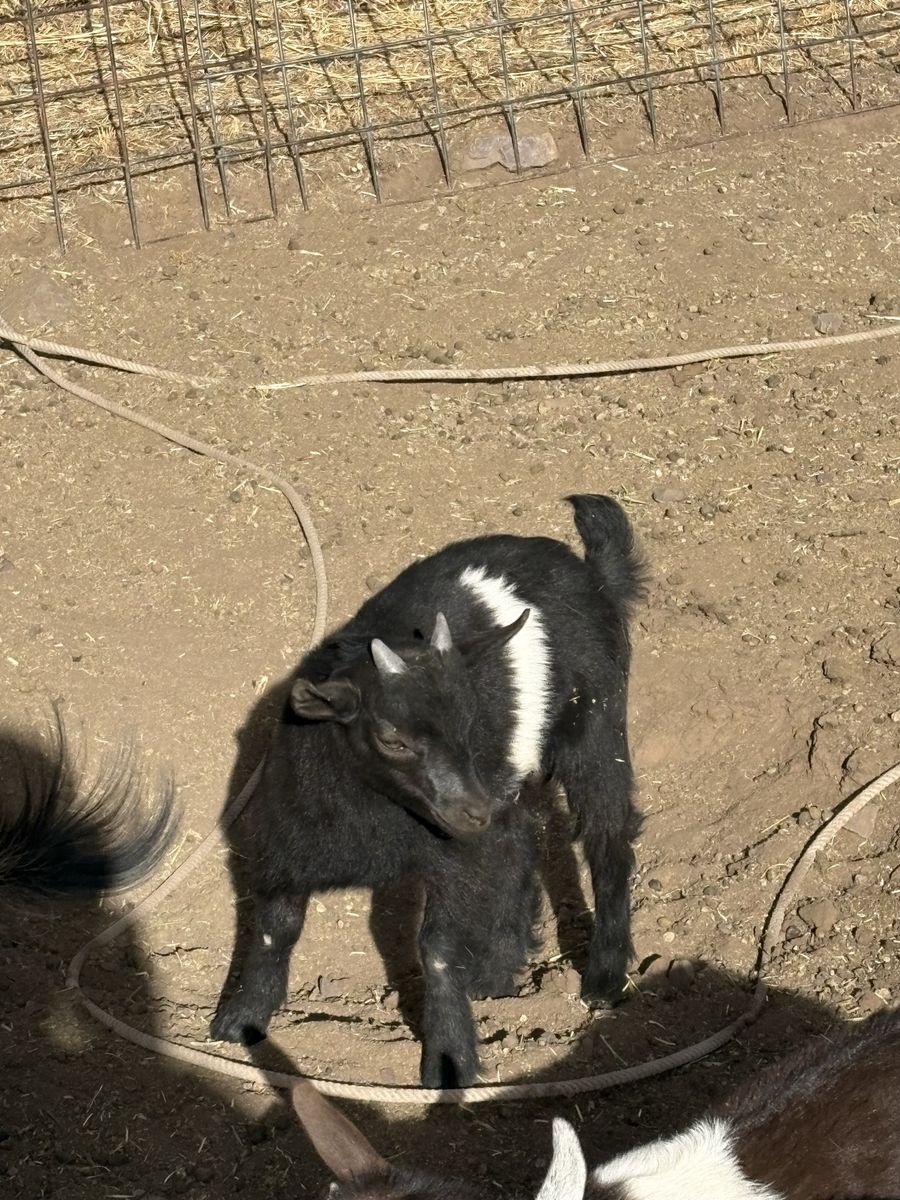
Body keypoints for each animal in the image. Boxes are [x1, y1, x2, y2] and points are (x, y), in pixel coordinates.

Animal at [211, 494, 646, 1089]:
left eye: (469, 721)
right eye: (392, 738)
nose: (472, 810)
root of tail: (593, 574)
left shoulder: (451, 853)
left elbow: (436, 947)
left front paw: (448, 1057)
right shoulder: (287, 835)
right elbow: (275, 928)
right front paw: (240, 1019)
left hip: (595, 722)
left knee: (606, 836)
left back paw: (603, 977)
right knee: (520, 841)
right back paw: (497, 970)